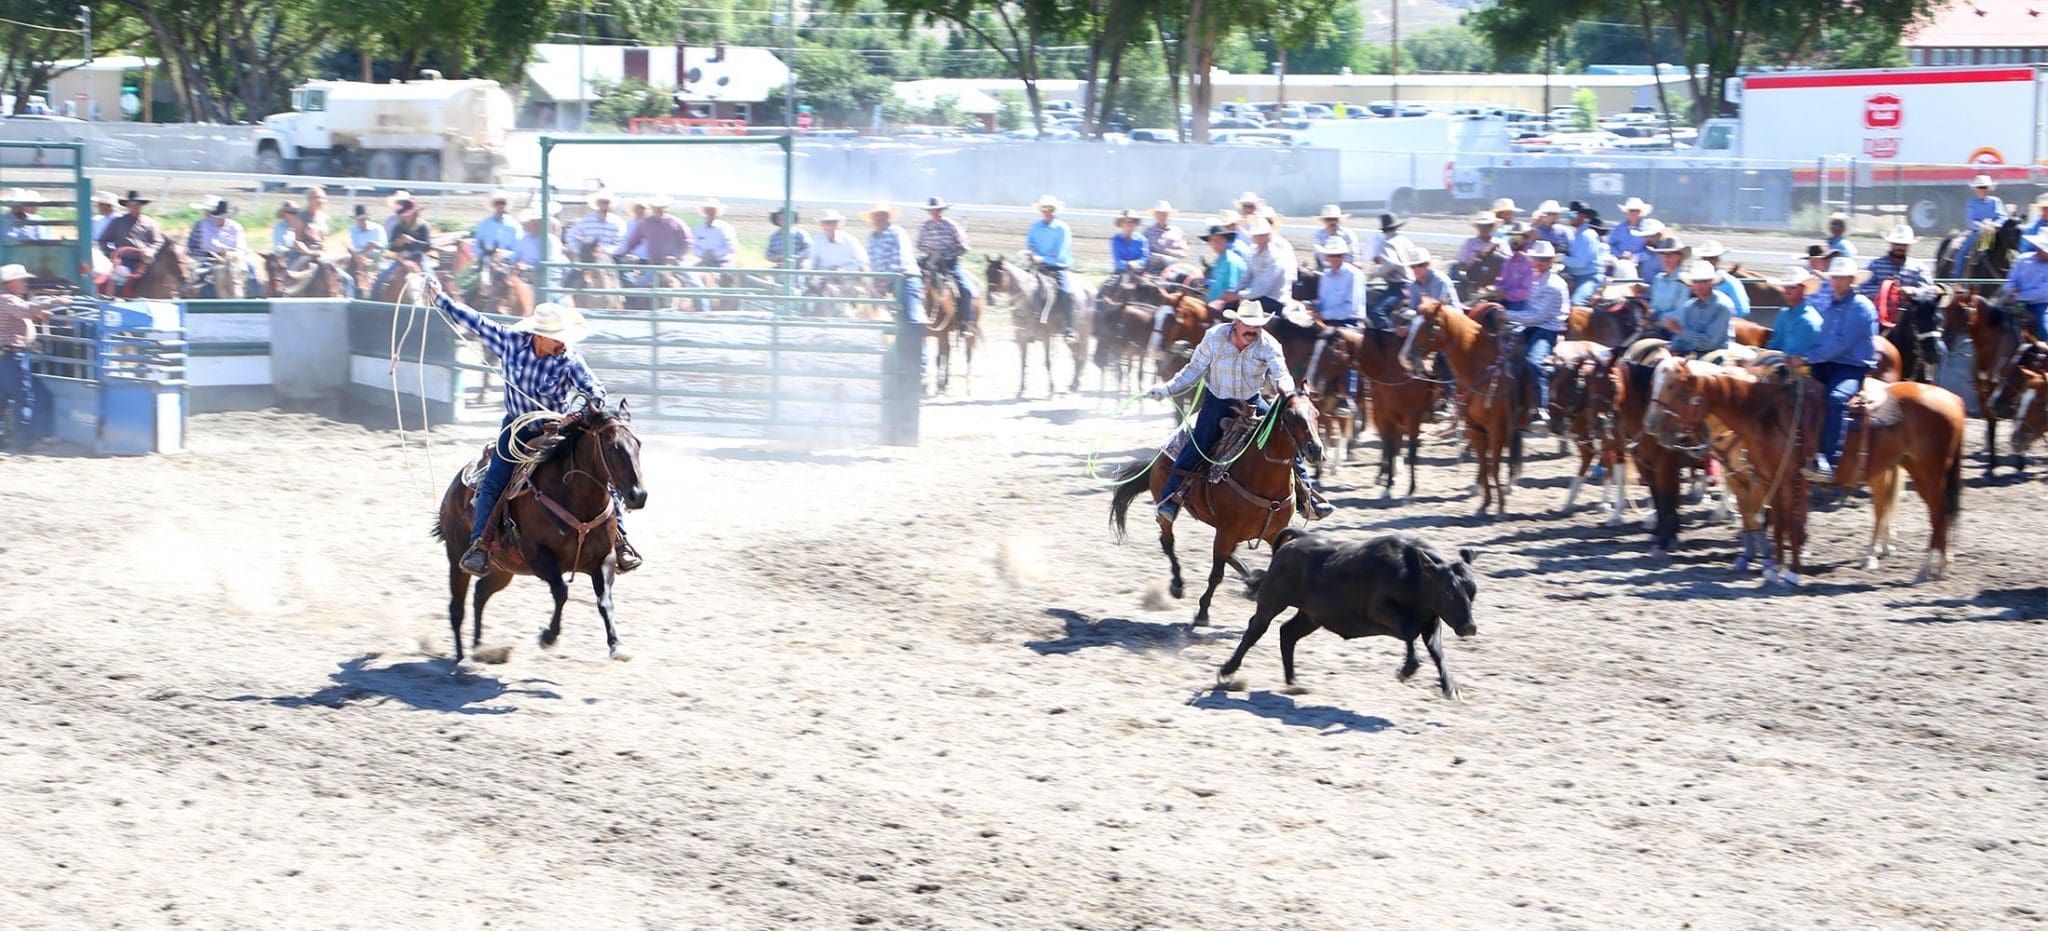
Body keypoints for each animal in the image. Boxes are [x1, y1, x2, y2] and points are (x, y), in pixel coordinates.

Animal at [432, 405, 647, 667]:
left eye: (638, 443)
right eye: (612, 446)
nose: (639, 495)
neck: (576, 499)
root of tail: (456, 484)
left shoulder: (604, 559)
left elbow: (605, 600)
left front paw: (617, 645)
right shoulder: (539, 558)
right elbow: (561, 592)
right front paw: (548, 637)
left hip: (503, 569)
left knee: (480, 594)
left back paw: (479, 649)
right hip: (457, 558)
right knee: (457, 607)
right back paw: (462, 660)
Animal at [987, 256, 1097, 399]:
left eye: (998, 274)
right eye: (987, 274)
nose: (989, 299)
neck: (1029, 299)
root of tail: (1091, 290)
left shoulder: (1046, 337)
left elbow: (1047, 362)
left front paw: (1051, 389)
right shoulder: (1021, 337)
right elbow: (1023, 362)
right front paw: (1021, 389)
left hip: (1082, 333)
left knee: (1081, 357)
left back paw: (1075, 385)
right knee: (1077, 356)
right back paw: (1073, 385)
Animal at [1105, 390, 1327, 630]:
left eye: (1316, 413)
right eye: (1291, 415)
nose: (1315, 449)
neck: (1266, 480)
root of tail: (1159, 456)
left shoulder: (1273, 532)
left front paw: (1256, 583)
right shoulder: (1227, 531)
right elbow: (1216, 575)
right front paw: (1202, 613)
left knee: (1227, 554)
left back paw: (1251, 581)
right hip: (1171, 507)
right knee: (1168, 540)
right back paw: (1178, 584)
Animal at [1409, 298, 1540, 517]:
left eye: (1432, 327)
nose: (1407, 356)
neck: (1480, 369)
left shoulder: (1497, 428)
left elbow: (1493, 466)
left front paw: (1500, 506)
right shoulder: (1475, 427)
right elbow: (1484, 463)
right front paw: (1484, 503)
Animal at [1638, 358, 1957, 581]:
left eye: (1675, 388)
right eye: (1654, 383)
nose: (1651, 427)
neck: (1765, 416)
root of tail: (1953, 399)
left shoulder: (1783, 479)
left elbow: (1788, 522)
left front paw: (1791, 569)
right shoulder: (1768, 479)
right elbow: (1776, 523)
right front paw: (1773, 568)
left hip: (1928, 471)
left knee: (1932, 512)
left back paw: (1919, 564)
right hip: (1903, 466)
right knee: (1905, 509)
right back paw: (1917, 559)